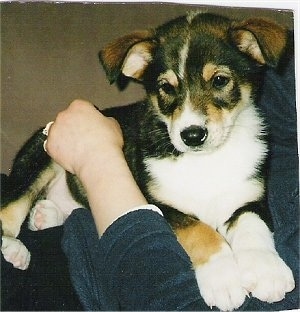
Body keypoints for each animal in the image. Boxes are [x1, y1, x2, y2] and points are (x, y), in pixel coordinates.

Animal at [0, 11, 296, 310]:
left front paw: (267, 272)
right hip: (37, 163)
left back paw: (46, 215)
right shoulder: (158, 203)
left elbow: (253, 227)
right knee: (9, 210)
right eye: (166, 87)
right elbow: (199, 230)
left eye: (220, 80)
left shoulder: (250, 198)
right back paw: (14, 248)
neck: (204, 161)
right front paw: (223, 279)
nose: (192, 135)